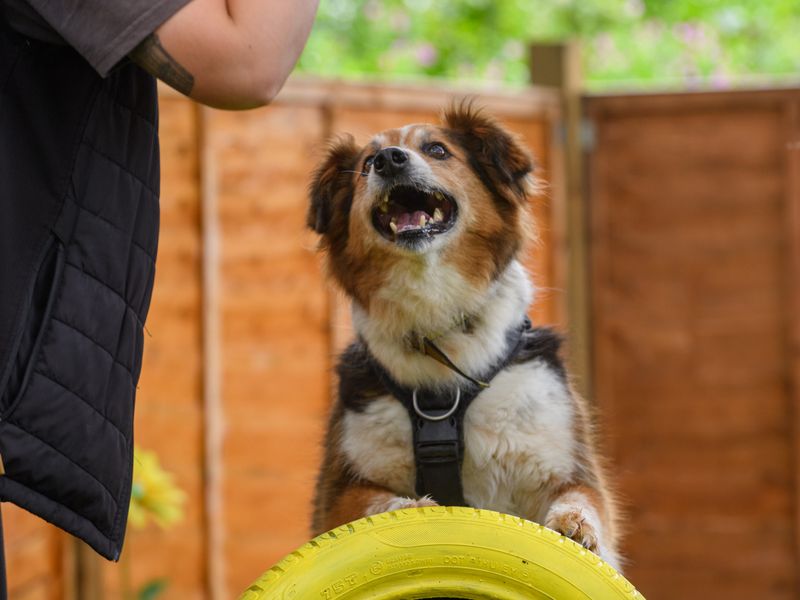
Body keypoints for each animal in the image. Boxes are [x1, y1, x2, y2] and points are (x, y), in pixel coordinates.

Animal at [304, 105, 620, 568]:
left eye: (437, 150)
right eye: (365, 165)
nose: (389, 160)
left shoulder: (565, 465)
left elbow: (580, 499)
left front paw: (575, 525)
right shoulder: (339, 489)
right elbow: (374, 504)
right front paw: (410, 508)